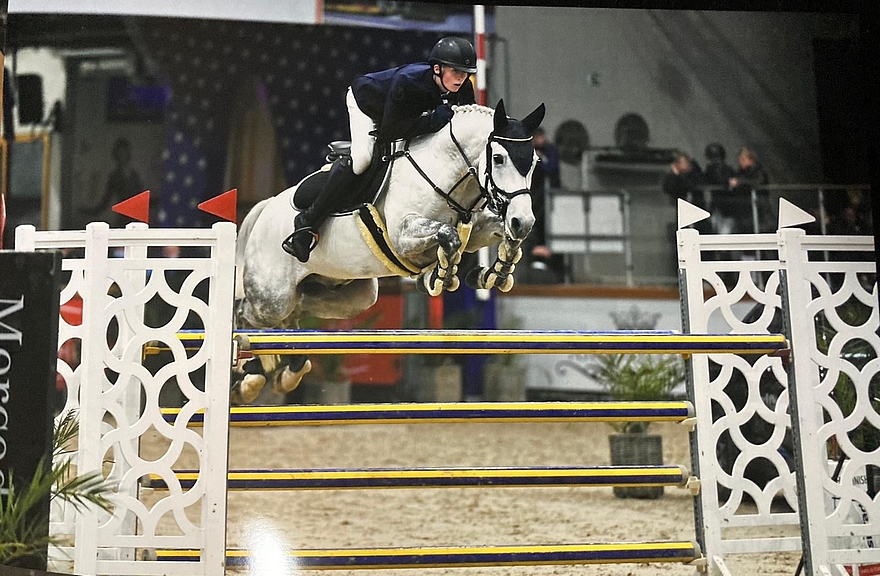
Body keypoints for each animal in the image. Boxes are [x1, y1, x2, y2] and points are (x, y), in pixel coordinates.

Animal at [230, 99, 548, 402]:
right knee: (247, 315)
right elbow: (448, 237)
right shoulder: (403, 235)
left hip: (350, 297)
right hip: (272, 295)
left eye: (534, 162)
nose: (524, 221)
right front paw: (440, 277)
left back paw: (285, 371)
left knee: (294, 313)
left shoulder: (476, 228)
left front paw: (493, 273)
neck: (443, 170)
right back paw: (246, 377)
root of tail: (264, 208)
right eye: (498, 158)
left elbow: (495, 235)